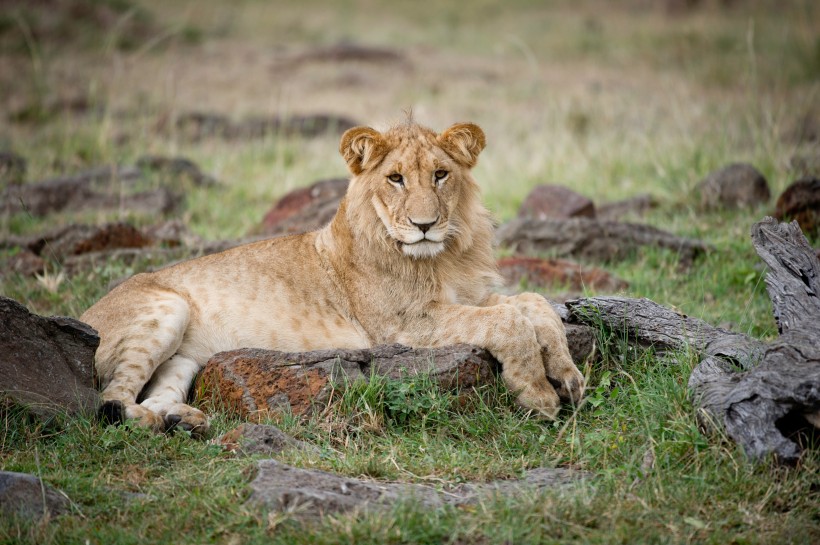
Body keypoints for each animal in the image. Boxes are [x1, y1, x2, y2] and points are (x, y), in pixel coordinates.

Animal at [81, 119, 584, 434]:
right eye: (396, 179)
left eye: (441, 175)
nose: (424, 225)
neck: (443, 256)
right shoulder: (404, 326)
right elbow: (508, 322)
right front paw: (539, 394)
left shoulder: (469, 296)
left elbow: (532, 304)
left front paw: (568, 376)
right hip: (167, 307)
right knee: (110, 398)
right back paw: (154, 421)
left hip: (184, 358)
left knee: (149, 395)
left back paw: (182, 420)